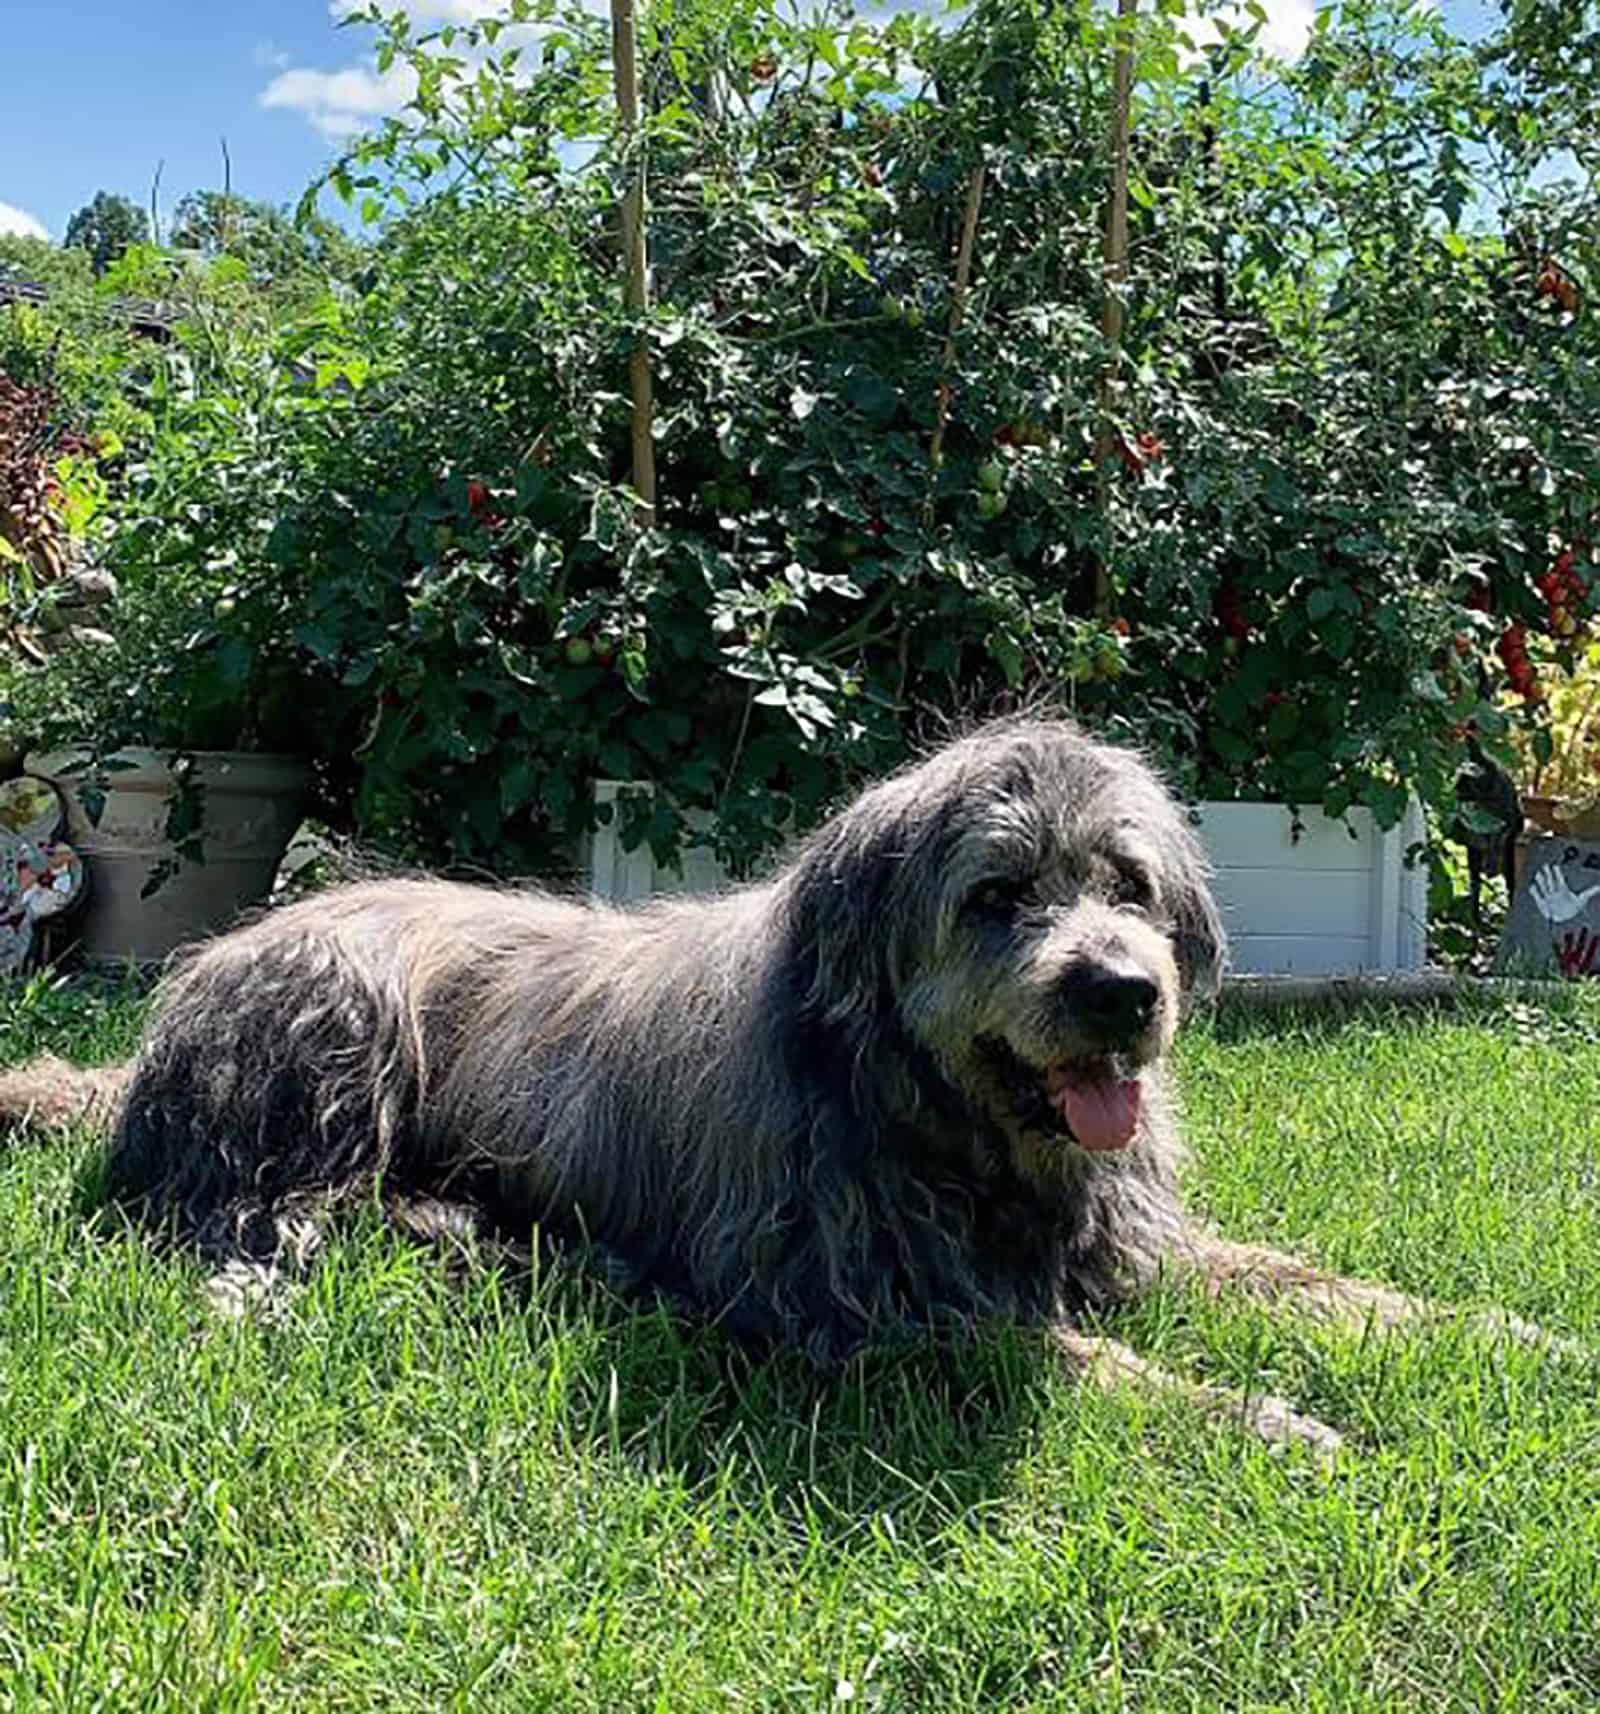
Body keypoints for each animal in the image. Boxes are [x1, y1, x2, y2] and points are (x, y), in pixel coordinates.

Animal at [0, 709, 1563, 1446]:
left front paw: (1506, 1334)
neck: (947, 1130)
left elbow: (1314, 1282)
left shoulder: (1124, 1244)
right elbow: (1069, 1353)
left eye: (1128, 882)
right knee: (238, 1215)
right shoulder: (865, 1305)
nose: (1123, 993)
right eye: (996, 895)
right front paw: (1268, 1418)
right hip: (334, 1027)